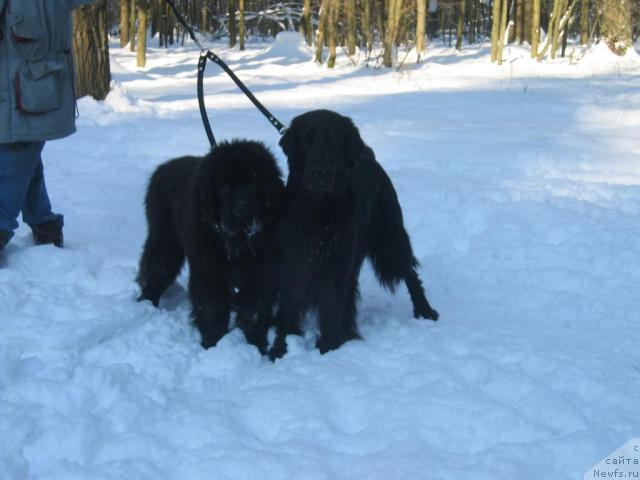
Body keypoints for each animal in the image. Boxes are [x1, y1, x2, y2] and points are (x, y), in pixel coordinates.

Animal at [138, 140, 284, 352]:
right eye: (224, 189)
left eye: (253, 184)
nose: (241, 211)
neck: (237, 243)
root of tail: (165, 166)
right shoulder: (208, 273)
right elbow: (211, 310)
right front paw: (212, 343)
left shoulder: (260, 274)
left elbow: (253, 312)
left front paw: (255, 345)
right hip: (163, 239)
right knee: (155, 267)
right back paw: (146, 302)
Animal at [270, 108, 440, 356]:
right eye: (306, 140)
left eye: (333, 140)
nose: (318, 171)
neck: (319, 211)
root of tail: (368, 156)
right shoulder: (291, 264)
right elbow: (287, 312)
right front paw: (279, 351)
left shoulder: (338, 269)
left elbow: (333, 312)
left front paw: (328, 350)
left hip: (389, 241)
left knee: (409, 272)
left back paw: (424, 310)